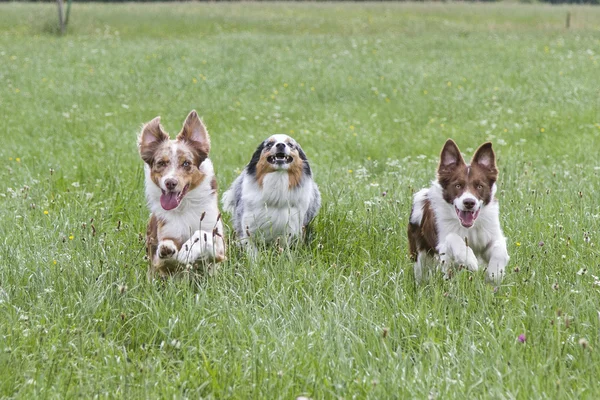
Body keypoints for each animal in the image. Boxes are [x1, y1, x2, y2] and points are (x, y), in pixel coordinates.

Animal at [137, 109, 226, 278]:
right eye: (161, 163)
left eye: (186, 163)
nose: (170, 183)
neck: (185, 207)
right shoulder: (160, 260)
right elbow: (167, 252)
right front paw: (168, 249)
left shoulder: (220, 249)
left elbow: (202, 234)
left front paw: (187, 249)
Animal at [406, 139, 508, 282]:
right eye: (458, 185)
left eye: (479, 186)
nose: (469, 202)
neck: (469, 227)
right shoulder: (442, 242)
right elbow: (452, 236)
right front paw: (469, 259)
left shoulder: (489, 235)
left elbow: (499, 247)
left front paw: (495, 272)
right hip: (420, 254)